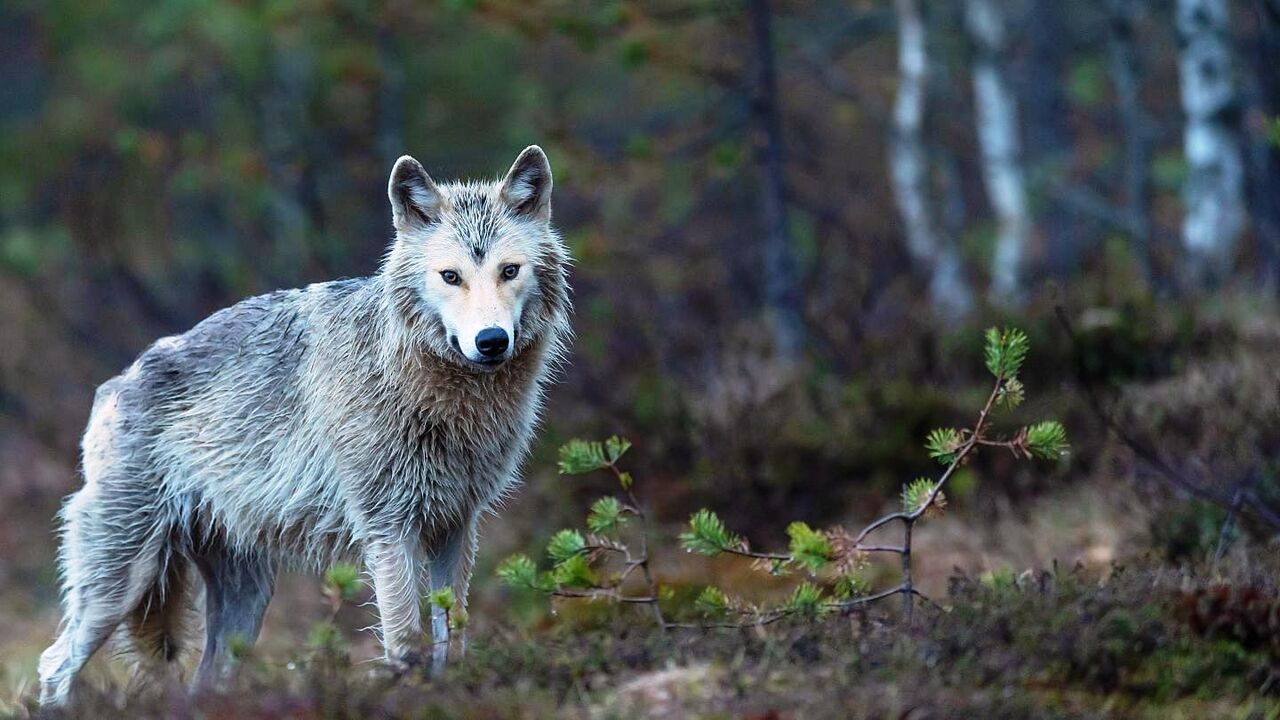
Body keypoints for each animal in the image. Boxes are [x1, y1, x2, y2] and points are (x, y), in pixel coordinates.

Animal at [37, 142, 573, 702]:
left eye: (509, 270)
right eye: (451, 276)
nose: (491, 341)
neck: (436, 394)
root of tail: (114, 384)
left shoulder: (457, 526)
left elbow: (455, 634)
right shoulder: (389, 529)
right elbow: (405, 639)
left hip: (246, 600)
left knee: (204, 678)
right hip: (122, 581)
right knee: (54, 663)